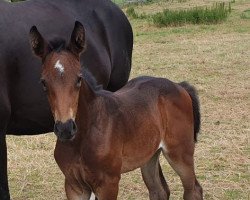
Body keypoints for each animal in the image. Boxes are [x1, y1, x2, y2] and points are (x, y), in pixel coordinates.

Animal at [31, 20, 203, 200]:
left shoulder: (108, 183)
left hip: (180, 153)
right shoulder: (73, 185)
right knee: (159, 190)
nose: (65, 128)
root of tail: (179, 86)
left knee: (193, 190)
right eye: (43, 82)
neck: (83, 137)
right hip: (149, 155)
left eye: (78, 78)